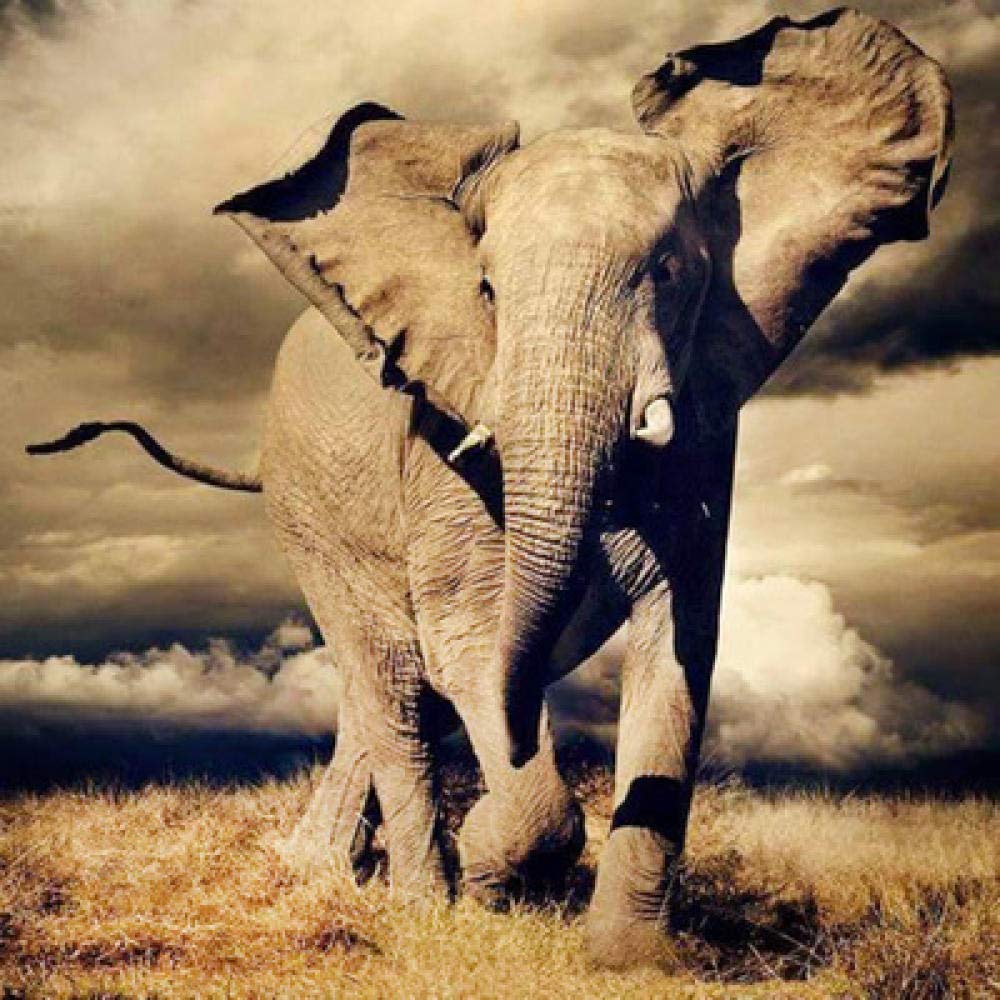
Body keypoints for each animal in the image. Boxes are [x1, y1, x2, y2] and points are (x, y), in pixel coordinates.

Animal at [30, 9, 951, 967]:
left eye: (666, 272)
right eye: (486, 289)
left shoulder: (706, 434)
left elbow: (680, 641)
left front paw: (628, 960)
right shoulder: (443, 450)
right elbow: (472, 638)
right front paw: (484, 877)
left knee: (403, 695)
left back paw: (337, 871)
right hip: (309, 511)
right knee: (400, 678)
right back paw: (415, 903)